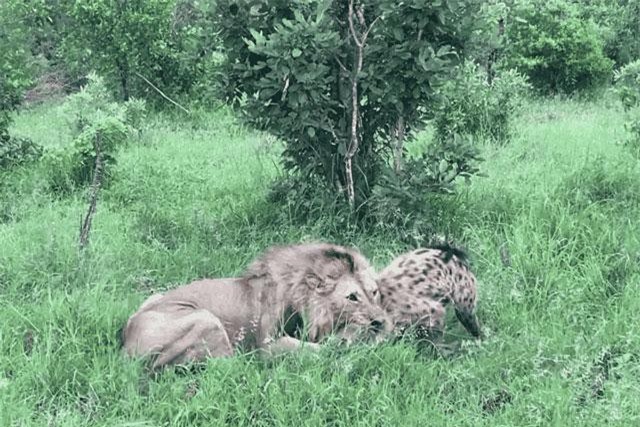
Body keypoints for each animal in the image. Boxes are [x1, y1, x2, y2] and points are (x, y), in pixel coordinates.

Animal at [120, 242, 390, 370]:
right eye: (352, 297)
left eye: (374, 292)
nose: (380, 322)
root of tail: (125, 341)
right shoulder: (268, 345)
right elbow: (314, 350)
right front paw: (348, 346)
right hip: (208, 320)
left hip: (155, 296)